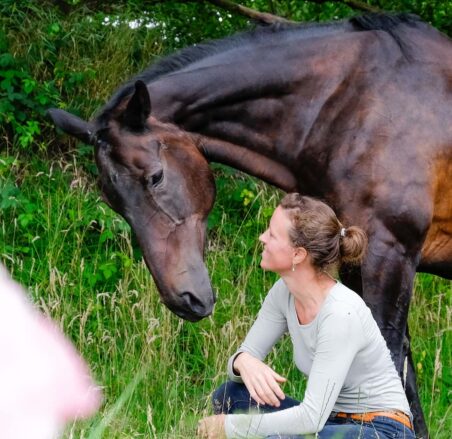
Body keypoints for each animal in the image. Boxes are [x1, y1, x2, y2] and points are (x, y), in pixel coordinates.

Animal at [47, 12, 450, 436]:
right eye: (113, 201)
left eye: (155, 177)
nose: (184, 299)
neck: (355, 103)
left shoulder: (389, 256)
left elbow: (395, 366)